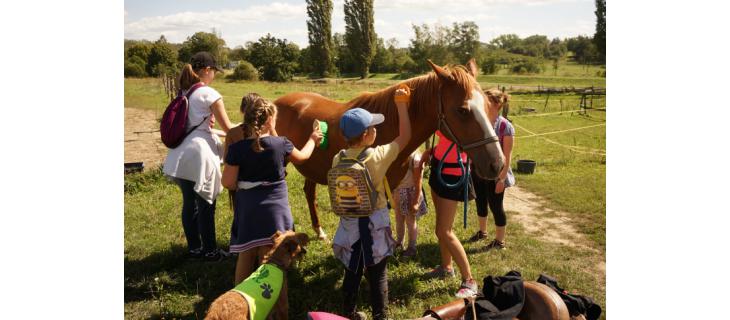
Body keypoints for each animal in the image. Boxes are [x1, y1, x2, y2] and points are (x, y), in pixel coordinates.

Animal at [276, 60, 504, 236]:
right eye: (462, 110)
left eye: (488, 105)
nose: (497, 163)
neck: (388, 125)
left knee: (309, 192)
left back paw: (319, 231)